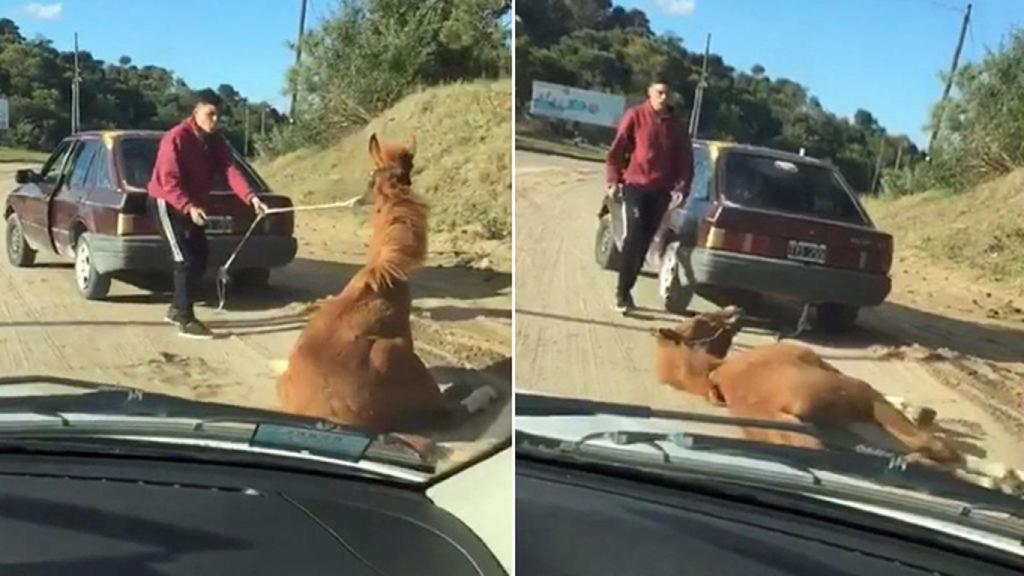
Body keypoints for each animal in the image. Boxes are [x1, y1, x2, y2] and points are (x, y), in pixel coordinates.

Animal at [651, 307, 962, 463]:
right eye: (701, 319)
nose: (734, 308)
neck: (716, 374)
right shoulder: (857, 390)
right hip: (859, 400)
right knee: (930, 447)